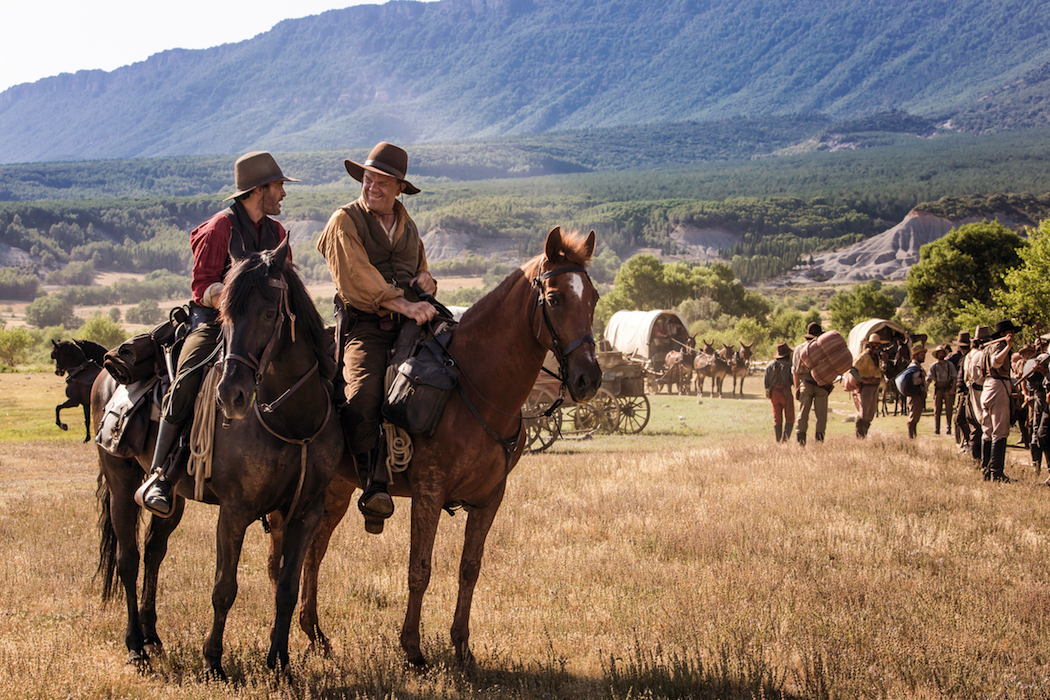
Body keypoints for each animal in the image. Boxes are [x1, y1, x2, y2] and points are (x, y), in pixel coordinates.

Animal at [92, 238, 342, 675]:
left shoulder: (305, 512)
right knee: (128, 559)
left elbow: (288, 588)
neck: (292, 422)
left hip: (171, 499)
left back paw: (153, 637)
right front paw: (213, 662)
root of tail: (106, 371)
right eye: (225, 315)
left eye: (269, 312)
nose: (231, 394)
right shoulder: (235, 511)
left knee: (154, 551)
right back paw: (136, 648)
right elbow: (224, 587)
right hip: (120, 482)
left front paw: (279, 663)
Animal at [270, 227, 604, 671]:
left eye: (594, 298)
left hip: (335, 489)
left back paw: (316, 635)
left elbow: (469, 569)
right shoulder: (428, 492)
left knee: (314, 550)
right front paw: (412, 649)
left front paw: (462, 647)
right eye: (554, 298)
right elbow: (420, 569)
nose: (588, 379)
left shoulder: (490, 498)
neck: (474, 384)